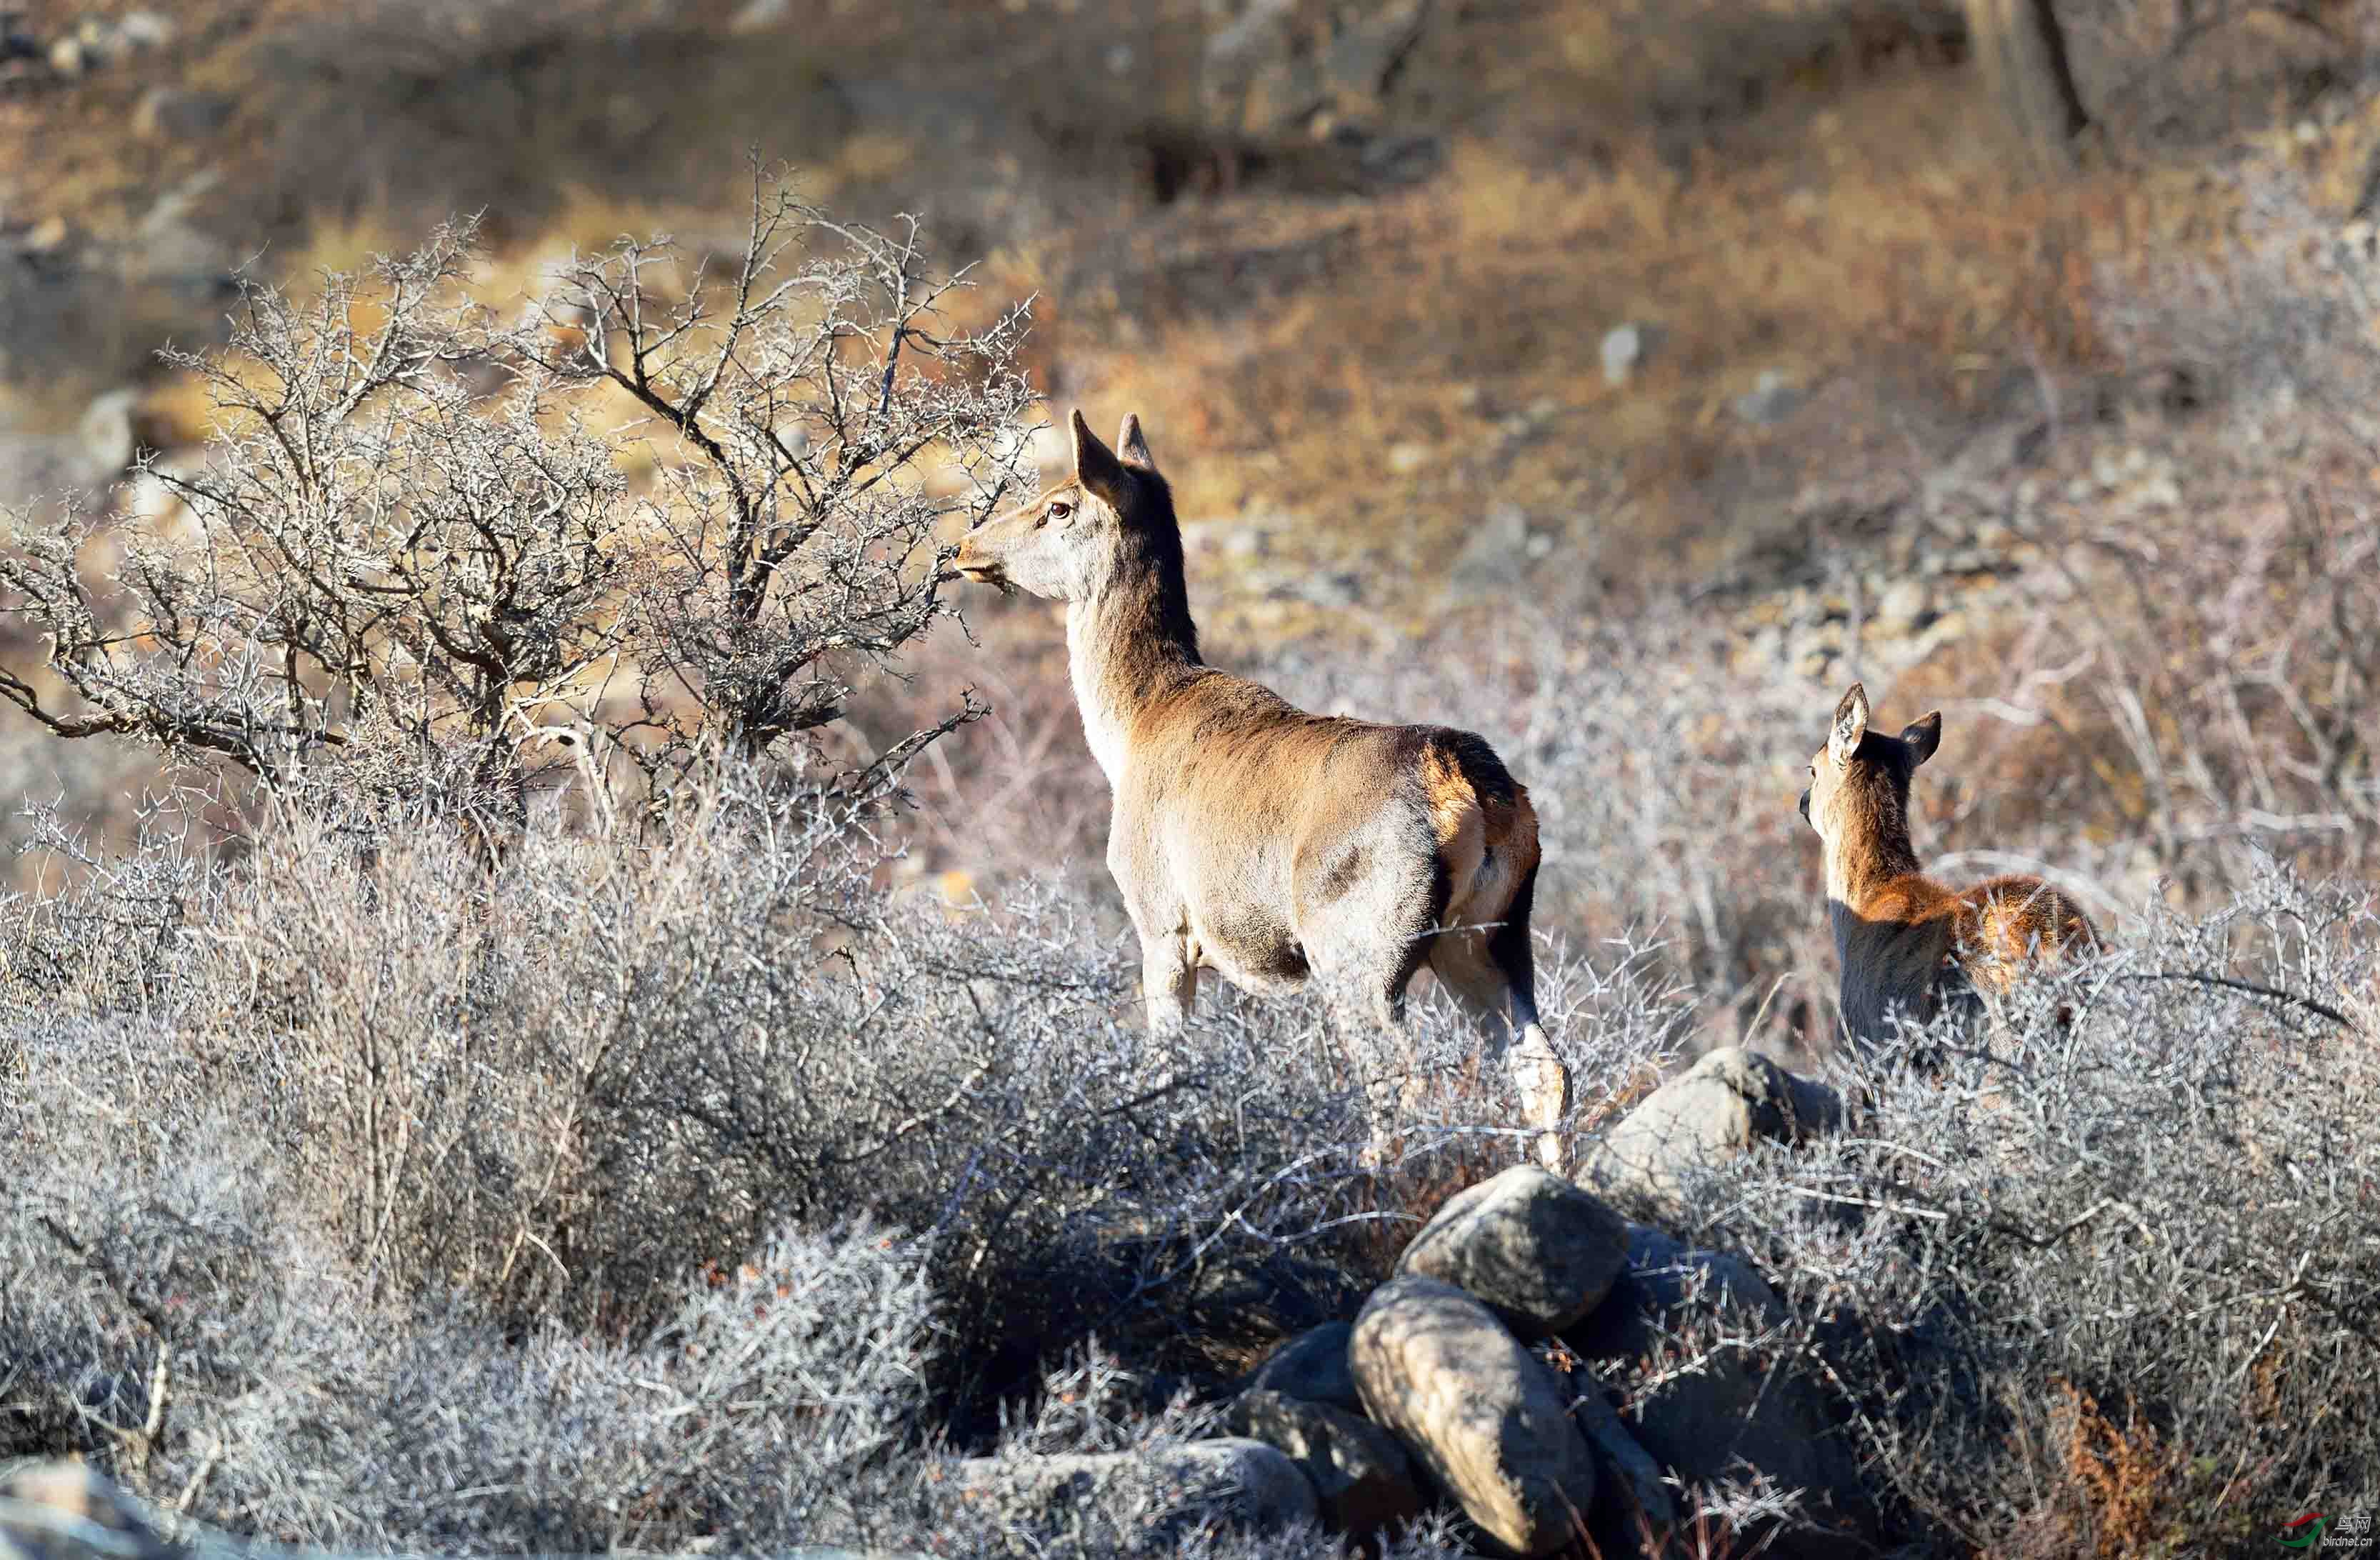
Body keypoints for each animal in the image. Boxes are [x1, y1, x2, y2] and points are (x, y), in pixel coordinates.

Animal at [947, 409, 1580, 1166]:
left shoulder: (1160, 914)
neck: (1128, 732)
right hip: (1492, 932)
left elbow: (1167, 1057)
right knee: (1542, 1065)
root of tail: (1466, 787)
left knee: (1401, 1076)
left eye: (1060, 505)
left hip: (1358, 939)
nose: (962, 546)